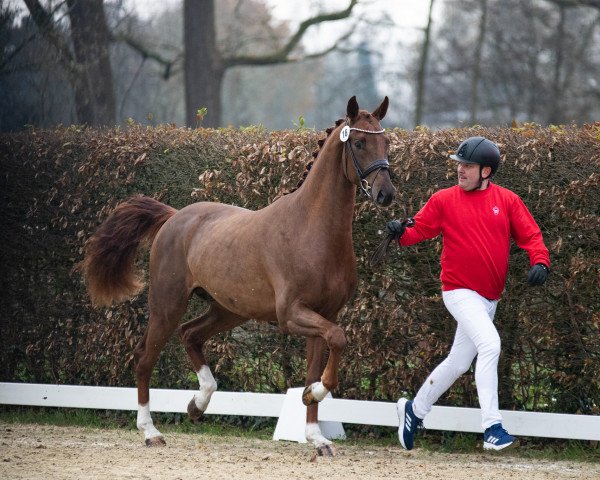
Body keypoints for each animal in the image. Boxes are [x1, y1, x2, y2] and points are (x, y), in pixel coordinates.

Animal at [82, 95, 396, 456]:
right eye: (358, 143)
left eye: (387, 142)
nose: (387, 194)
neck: (311, 229)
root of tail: (174, 217)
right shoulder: (292, 315)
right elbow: (338, 341)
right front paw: (312, 397)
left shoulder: (324, 315)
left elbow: (319, 363)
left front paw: (317, 435)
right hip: (167, 305)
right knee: (144, 358)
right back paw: (151, 431)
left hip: (228, 310)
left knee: (190, 335)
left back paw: (197, 405)